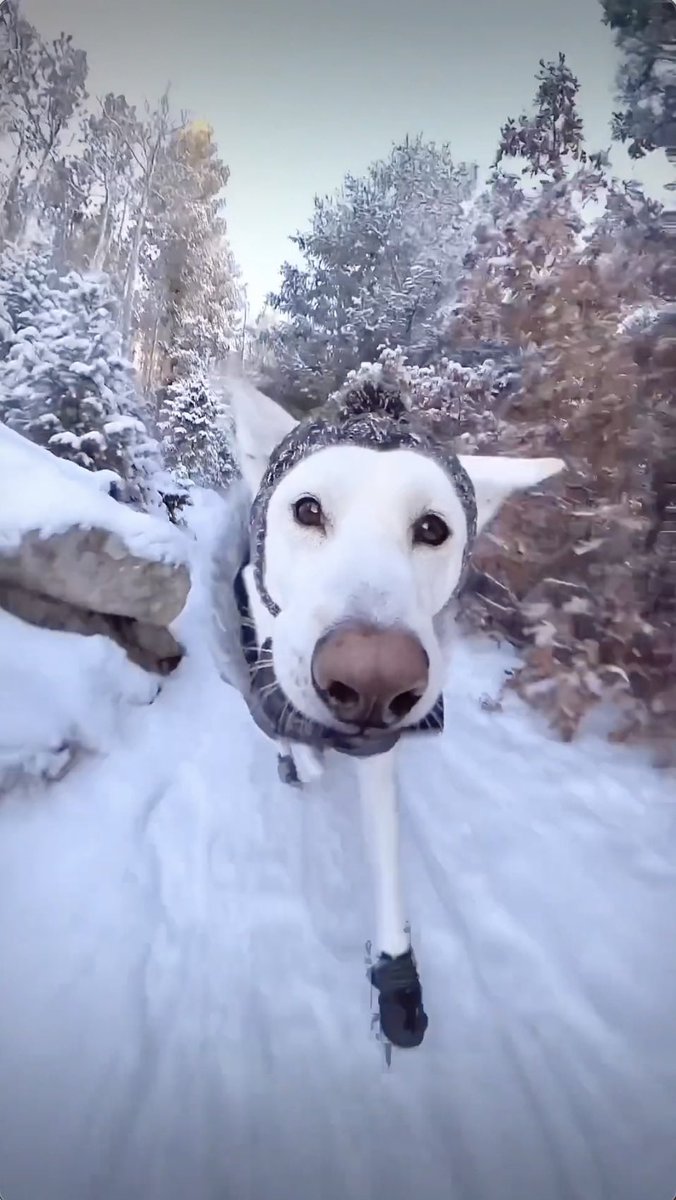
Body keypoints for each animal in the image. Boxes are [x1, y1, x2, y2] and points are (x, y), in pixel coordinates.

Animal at [213, 374, 564, 1051]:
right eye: (307, 510)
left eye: (433, 528)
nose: (375, 681)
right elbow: (287, 724)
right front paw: (301, 753)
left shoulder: (383, 752)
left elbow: (387, 856)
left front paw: (395, 966)